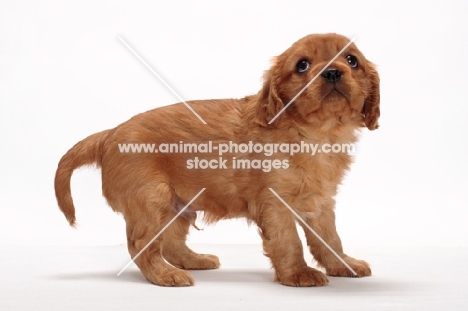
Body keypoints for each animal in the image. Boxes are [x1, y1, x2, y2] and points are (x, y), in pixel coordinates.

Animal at [54, 33, 380, 288]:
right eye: (302, 65)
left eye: (352, 60)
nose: (333, 72)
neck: (318, 133)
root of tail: (111, 133)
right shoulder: (275, 203)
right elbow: (289, 241)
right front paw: (298, 274)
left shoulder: (322, 202)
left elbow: (330, 238)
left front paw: (343, 264)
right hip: (150, 199)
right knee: (141, 246)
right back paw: (166, 276)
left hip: (177, 205)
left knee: (171, 242)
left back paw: (193, 260)